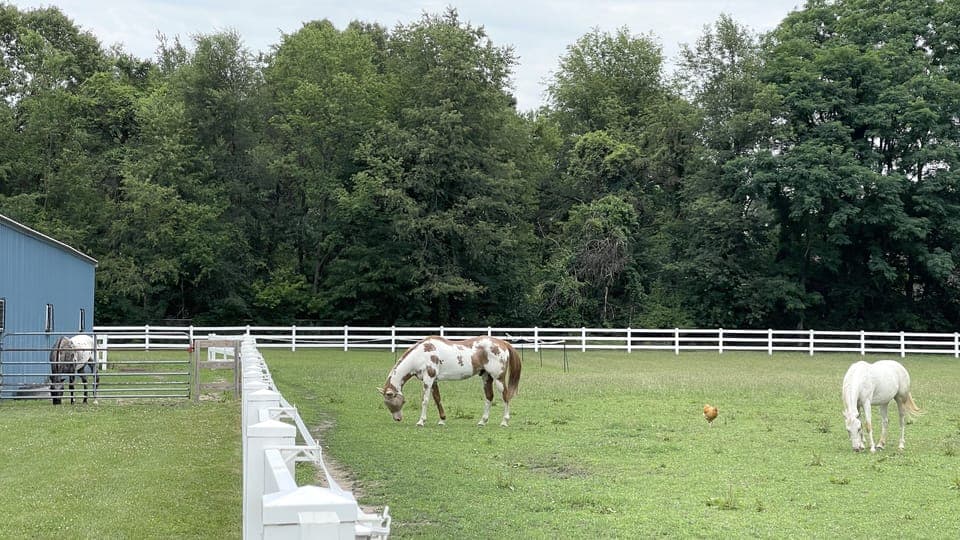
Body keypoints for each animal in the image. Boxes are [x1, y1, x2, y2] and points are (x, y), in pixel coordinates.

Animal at [378, 336, 521, 427]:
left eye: (390, 401)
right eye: (386, 403)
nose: (398, 418)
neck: (421, 354)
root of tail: (502, 343)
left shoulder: (428, 379)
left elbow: (425, 400)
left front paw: (421, 421)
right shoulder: (434, 381)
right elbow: (437, 399)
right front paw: (442, 420)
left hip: (498, 378)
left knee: (505, 397)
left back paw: (504, 422)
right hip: (486, 377)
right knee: (489, 397)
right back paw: (482, 421)